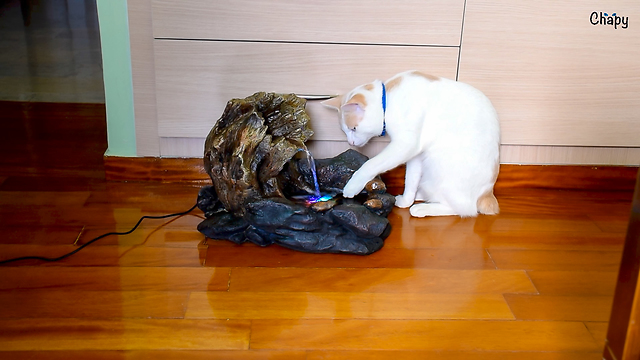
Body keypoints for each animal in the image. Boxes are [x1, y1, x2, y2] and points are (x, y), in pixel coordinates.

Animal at [324, 69, 500, 217]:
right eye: (345, 131)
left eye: (353, 128)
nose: (351, 142)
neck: (388, 99)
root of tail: (487, 193)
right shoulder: (415, 154)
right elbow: (410, 179)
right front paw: (406, 200)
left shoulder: (406, 144)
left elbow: (370, 165)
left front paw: (352, 186)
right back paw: (422, 196)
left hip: (440, 166)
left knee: (465, 209)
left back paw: (423, 208)